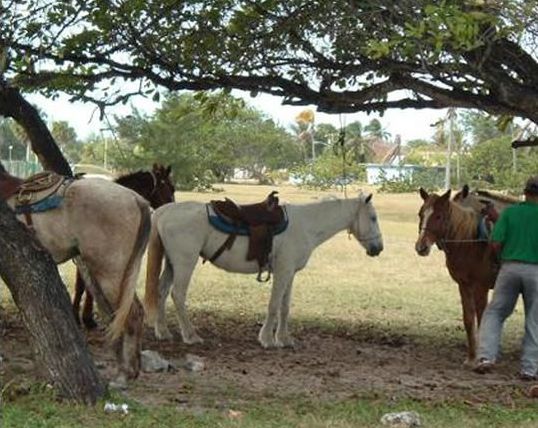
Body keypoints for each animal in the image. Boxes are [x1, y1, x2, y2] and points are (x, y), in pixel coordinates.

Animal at [143, 191, 382, 348]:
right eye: (373, 217)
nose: (378, 248)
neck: (307, 224)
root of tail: (164, 211)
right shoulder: (283, 272)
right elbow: (273, 305)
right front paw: (267, 339)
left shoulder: (290, 273)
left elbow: (285, 307)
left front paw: (284, 339)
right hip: (185, 262)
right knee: (178, 294)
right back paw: (190, 335)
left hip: (172, 263)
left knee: (161, 292)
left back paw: (163, 332)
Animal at [414, 189, 494, 366]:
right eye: (421, 214)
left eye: (439, 216)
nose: (421, 247)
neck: (470, 241)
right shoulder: (464, 285)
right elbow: (468, 320)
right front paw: (471, 358)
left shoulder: (481, 288)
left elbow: (482, 320)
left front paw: (480, 359)